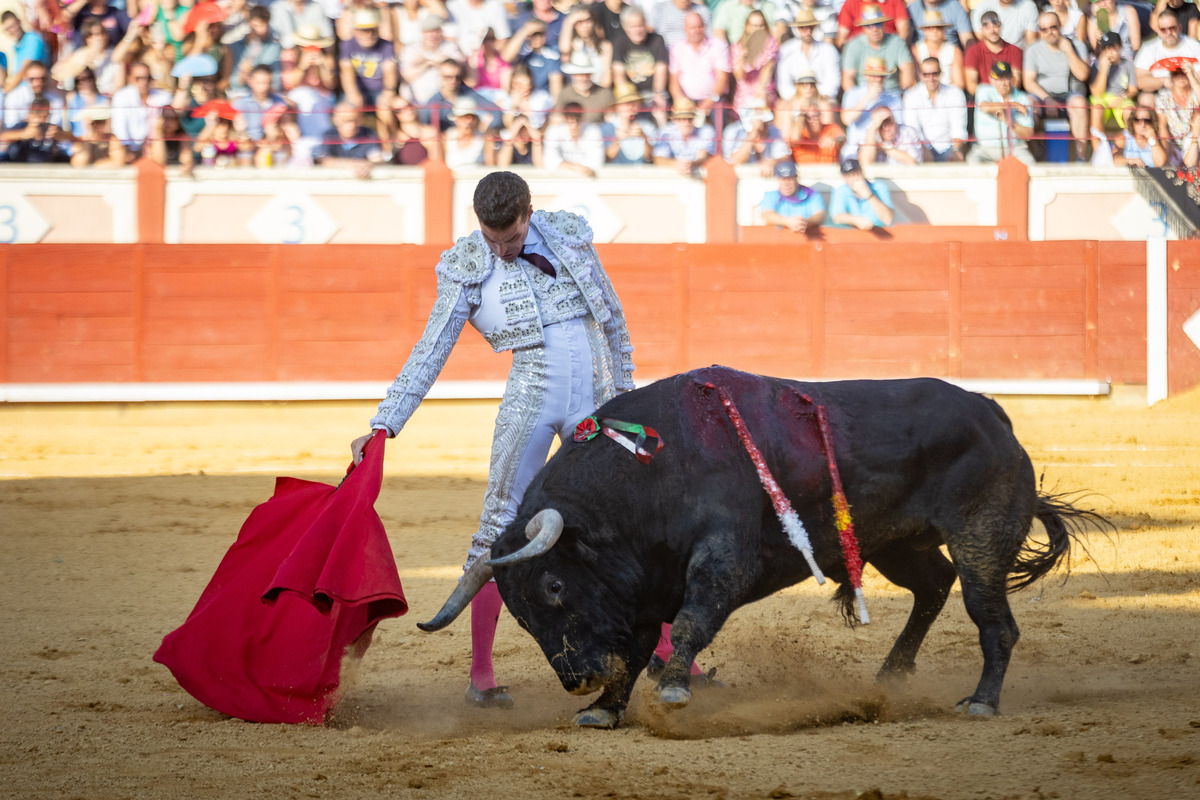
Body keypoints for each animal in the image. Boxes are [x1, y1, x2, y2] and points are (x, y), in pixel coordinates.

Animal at [420, 367, 1104, 729]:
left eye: (555, 585)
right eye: (520, 613)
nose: (578, 680)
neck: (647, 473)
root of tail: (996, 416)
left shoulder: (723, 563)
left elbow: (689, 623)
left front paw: (674, 689)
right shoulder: (638, 590)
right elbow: (637, 647)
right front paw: (606, 710)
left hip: (978, 537)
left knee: (992, 619)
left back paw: (981, 702)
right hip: (895, 543)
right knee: (933, 586)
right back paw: (892, 675)